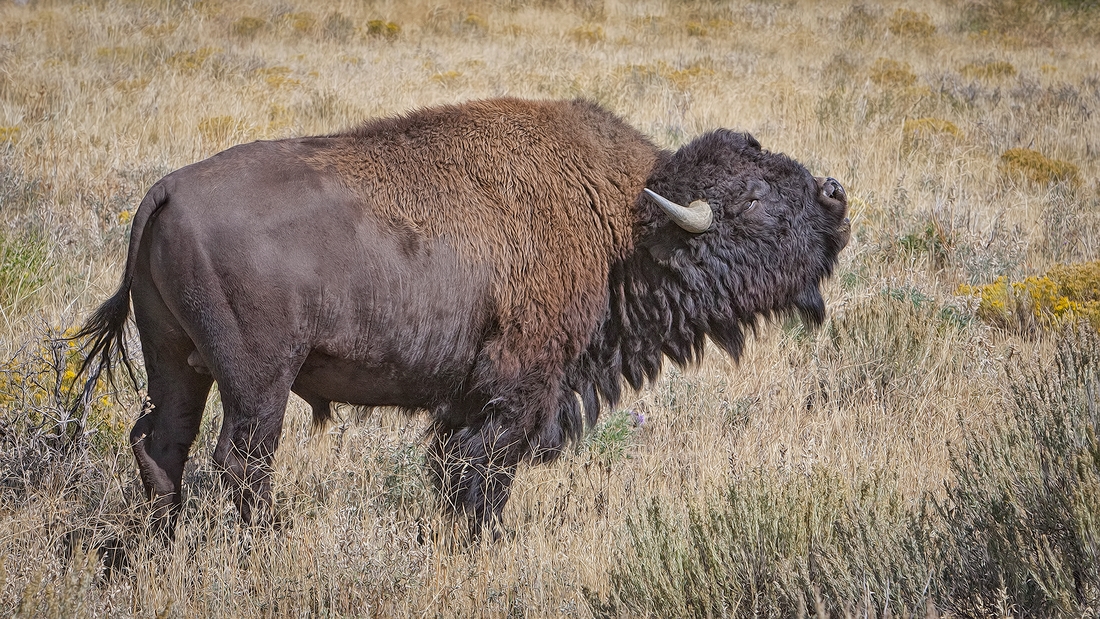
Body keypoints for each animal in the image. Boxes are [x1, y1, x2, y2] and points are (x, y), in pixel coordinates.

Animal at [77, 96, 849, 538]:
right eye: (755, 202)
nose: (835, 198)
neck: (627, 223)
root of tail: (165, 192)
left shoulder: (467, 398)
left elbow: (455, 465)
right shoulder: (518, 388)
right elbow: (482, 471)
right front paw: (486, 539)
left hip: (175, 365)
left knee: (162, 446)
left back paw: (159, 547)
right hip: (256, 384)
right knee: (242, 462)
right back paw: (271, 543)